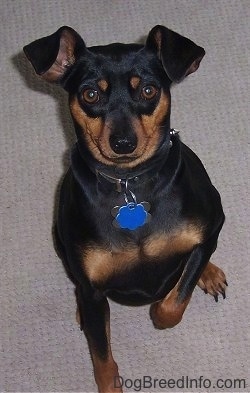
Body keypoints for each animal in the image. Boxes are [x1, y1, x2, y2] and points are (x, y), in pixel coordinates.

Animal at [23, 26, 227, 390]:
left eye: (148, 89)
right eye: (90, 94)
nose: (122, 143)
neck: (129, 184)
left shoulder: (213, 225)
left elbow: (175, 300)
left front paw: (163, 306)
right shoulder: (93, 290)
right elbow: (101, 356)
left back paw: (210, 273)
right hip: (58, 239)